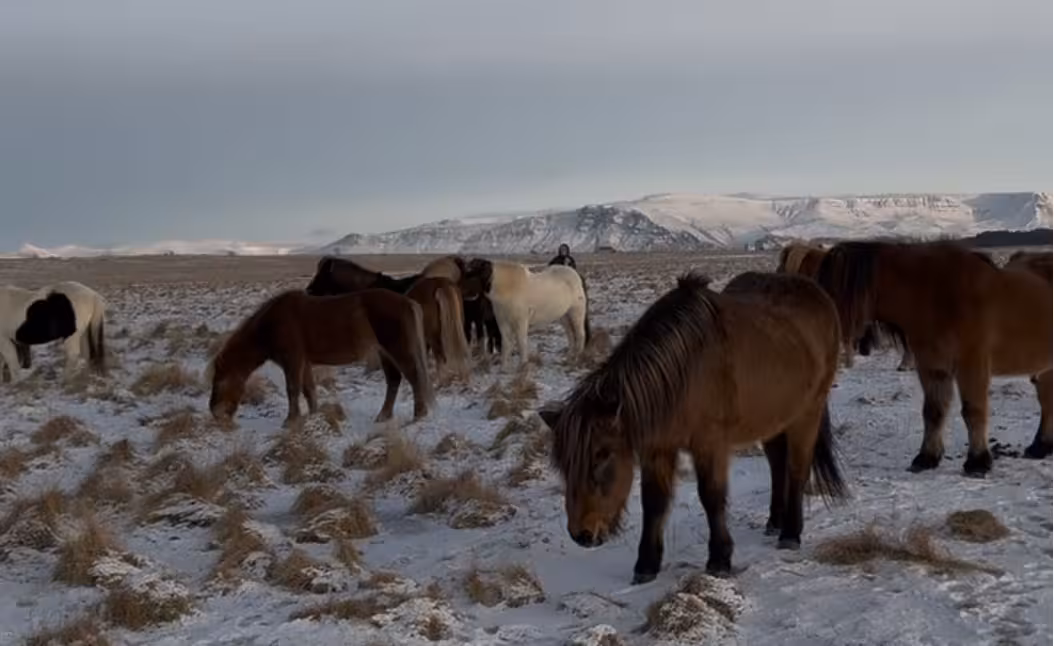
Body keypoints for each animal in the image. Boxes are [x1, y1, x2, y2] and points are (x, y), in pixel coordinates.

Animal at [207, 288, 435, 427]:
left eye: (219, 383)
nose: (215, 413)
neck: (270, 325)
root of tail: (408, 302)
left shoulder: (293, 361)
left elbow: (293, 389)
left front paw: (291, 420)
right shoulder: (304, 362)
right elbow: (309, 390)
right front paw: (313, 416)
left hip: (397, 349)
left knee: (414, 377)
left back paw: (419, 415)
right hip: (384, 353)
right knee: (394, 380)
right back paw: (384, 416)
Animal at [462, 258, 590, 370]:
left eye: (473, 273)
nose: (465, 296)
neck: (508, 287)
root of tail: (576, 275)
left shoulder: (521, 321)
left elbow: (521, 341)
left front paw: (522, 365)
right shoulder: (502, 321)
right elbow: (506, 342)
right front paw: (504, 367)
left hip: (576, 313)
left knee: (580, 334)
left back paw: (577, 358)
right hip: (564, 316)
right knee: (571, 335)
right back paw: (569, 358)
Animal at [540, 271, 849, 583]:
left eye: (602, 456)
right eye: (563, 464)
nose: (581, 534)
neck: (685, 372)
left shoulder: (709, 445)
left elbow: (711, 496)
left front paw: (719, 559)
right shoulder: (658, 447)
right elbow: (654, 502)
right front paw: (646, 565)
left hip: (806, 414)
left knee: (797, 469)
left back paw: (790, 533)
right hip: (773, 419)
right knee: (777, 466)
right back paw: (774, 522)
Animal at [816, 240, 1053, 475]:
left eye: (832, 288)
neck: (938, 296)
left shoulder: (972, 364)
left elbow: (973, 410)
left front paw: (977, 462)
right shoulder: (932, 367)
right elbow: (933, 411)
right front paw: (927, 457)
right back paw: (1040, 447)